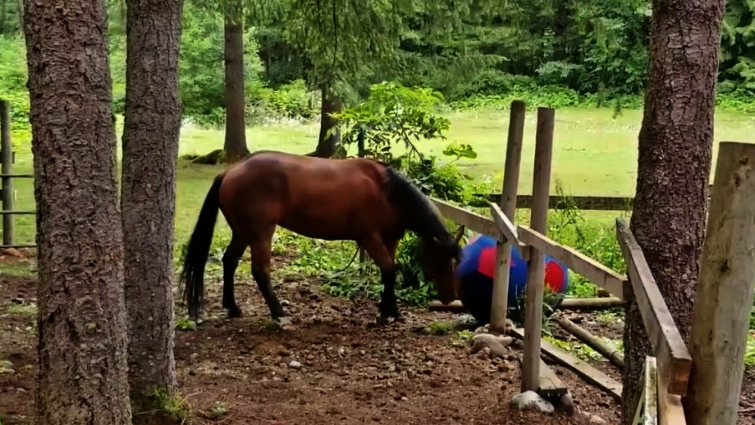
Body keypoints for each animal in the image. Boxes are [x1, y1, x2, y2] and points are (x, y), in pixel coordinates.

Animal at [178, 150, 462, 325]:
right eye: (442, 261)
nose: (450, 298)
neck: (387, 191)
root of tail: (230, 172)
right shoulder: (370, 238)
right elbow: (389, 271)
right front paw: (387, 313)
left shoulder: (389, 240)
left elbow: (389, 272)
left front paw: (390, 311)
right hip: (260, 233)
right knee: (260, 271)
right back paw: (279, 314)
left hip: (242, 232)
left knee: (229, 262)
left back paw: (233, 307)